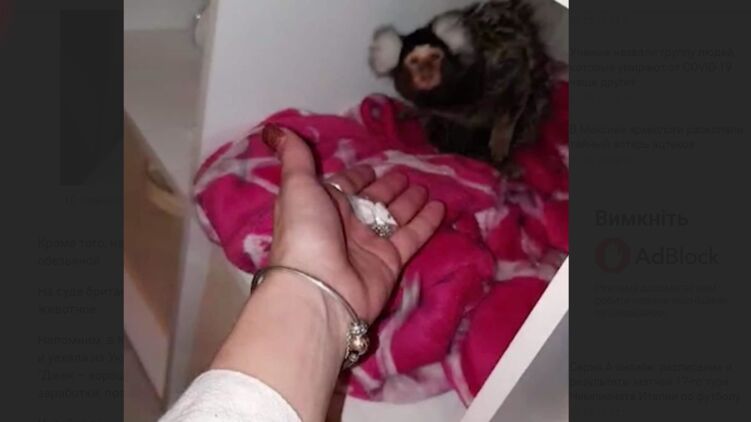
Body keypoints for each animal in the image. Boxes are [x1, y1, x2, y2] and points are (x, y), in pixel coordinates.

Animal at [368, 0, 554, 168]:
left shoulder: (496, 67)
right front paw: (411, 111)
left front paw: (500, 142)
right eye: (414, 62)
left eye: (435, 57)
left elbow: (517, 77)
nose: (426, 73)